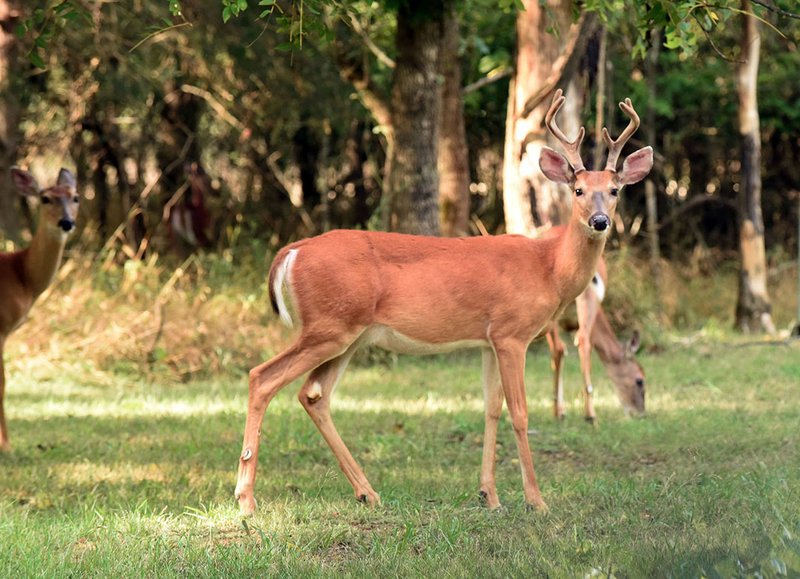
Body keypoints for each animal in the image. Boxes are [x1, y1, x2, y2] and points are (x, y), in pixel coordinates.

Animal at [0, 165, 79, 450]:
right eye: (45, 198)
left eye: (75, 197)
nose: (66, 222)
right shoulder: (1, 326)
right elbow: (2, 383)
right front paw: (5, 445)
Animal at [548, 251, 648, 424]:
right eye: (639, 380)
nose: (640, 413)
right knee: (575, 343)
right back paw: (586, 413)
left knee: (569, 345)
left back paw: (583, 413)